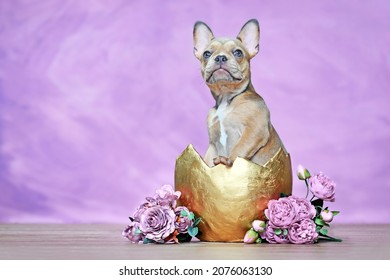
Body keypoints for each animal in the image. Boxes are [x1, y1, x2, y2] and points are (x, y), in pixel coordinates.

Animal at [193, 20, 286, 168]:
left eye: (238, 52)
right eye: (206, 54)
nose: (220, 57)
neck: (226, 97)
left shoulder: (254, 131)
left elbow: (239, 148)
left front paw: (226, 160)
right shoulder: (213, 144)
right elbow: (207, 161)